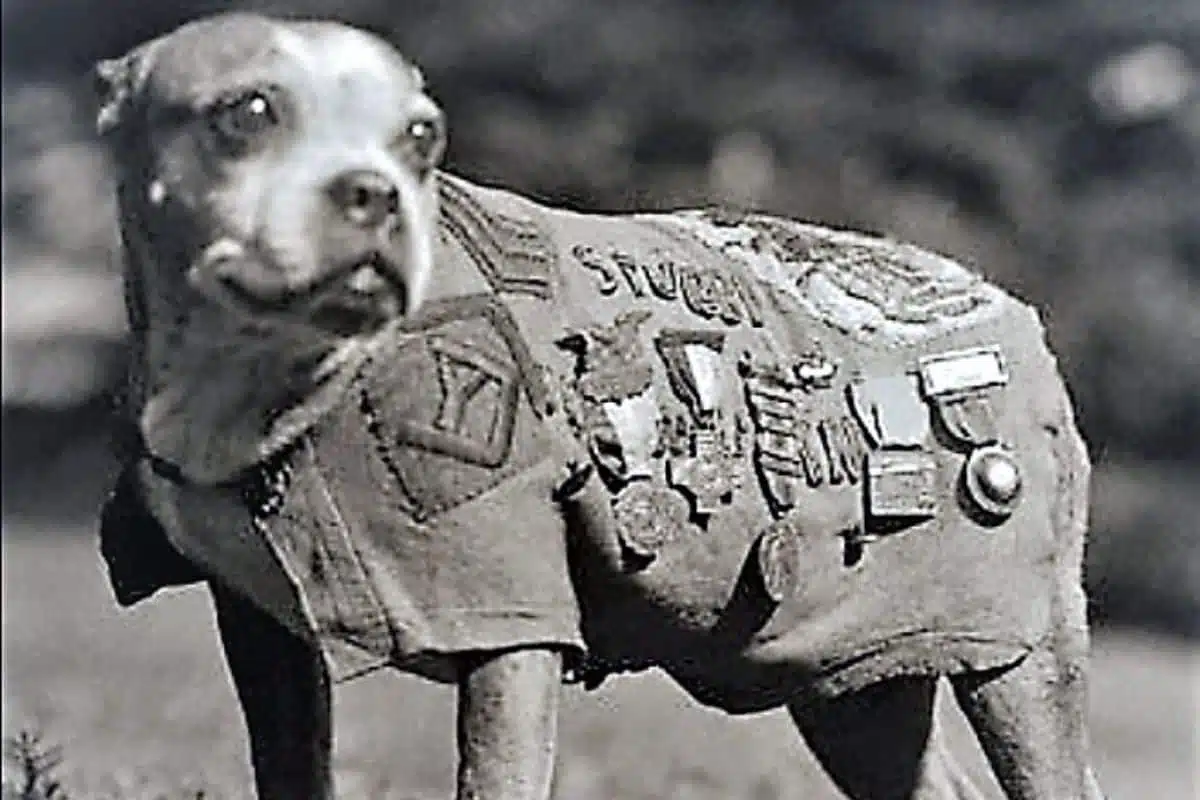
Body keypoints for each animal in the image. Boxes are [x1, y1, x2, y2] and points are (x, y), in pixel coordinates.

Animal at [93, 12, 1104, 800]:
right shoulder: (262, 636)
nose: (374, 192)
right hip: (856, 678)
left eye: (421, 137)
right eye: (248, 112)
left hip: (1024, 658)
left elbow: (494, 775)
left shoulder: (513, 629)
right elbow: (291, 766)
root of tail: (1004, 304)